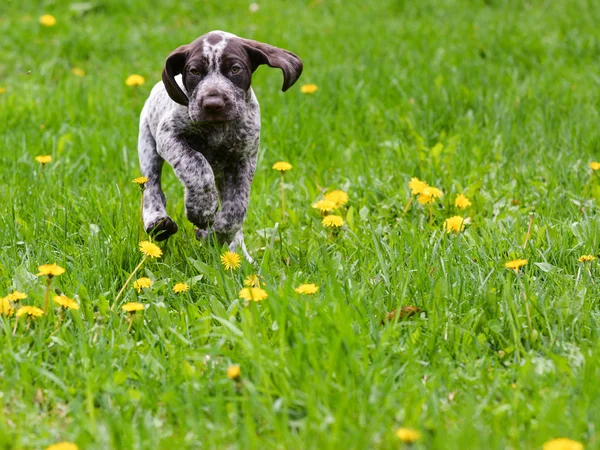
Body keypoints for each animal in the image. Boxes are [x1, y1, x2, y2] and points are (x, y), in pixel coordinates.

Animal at [138, 30, 302, 256]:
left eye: (235, 69)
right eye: (194, 71)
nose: (213, 104)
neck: (218, 129)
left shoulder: (244, 159)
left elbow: (236, 210)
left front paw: (214, 235)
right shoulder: (169, 135)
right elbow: (197, 166)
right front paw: (201, 208)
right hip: (147, 145)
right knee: (152, 188)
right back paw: (158, 222)